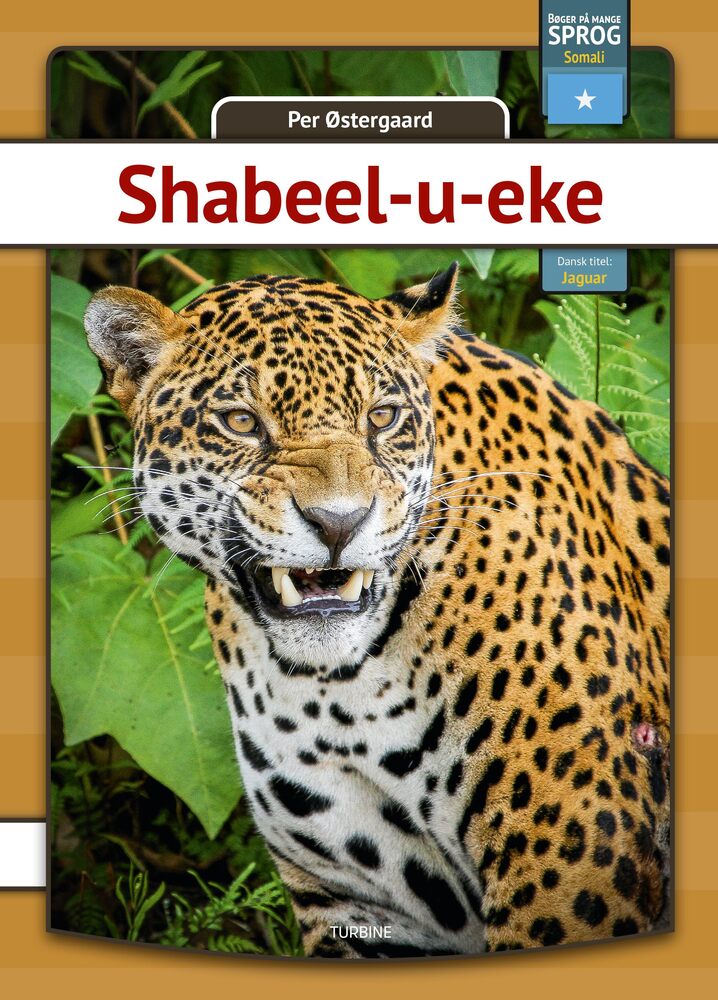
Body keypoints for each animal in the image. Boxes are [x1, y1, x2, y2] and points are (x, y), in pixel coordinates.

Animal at [84, 264, 671, 959]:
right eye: (241, 422)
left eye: (383, 418)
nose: (339, 521)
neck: (340, 691)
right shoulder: (357, 900)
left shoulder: (574, 858)